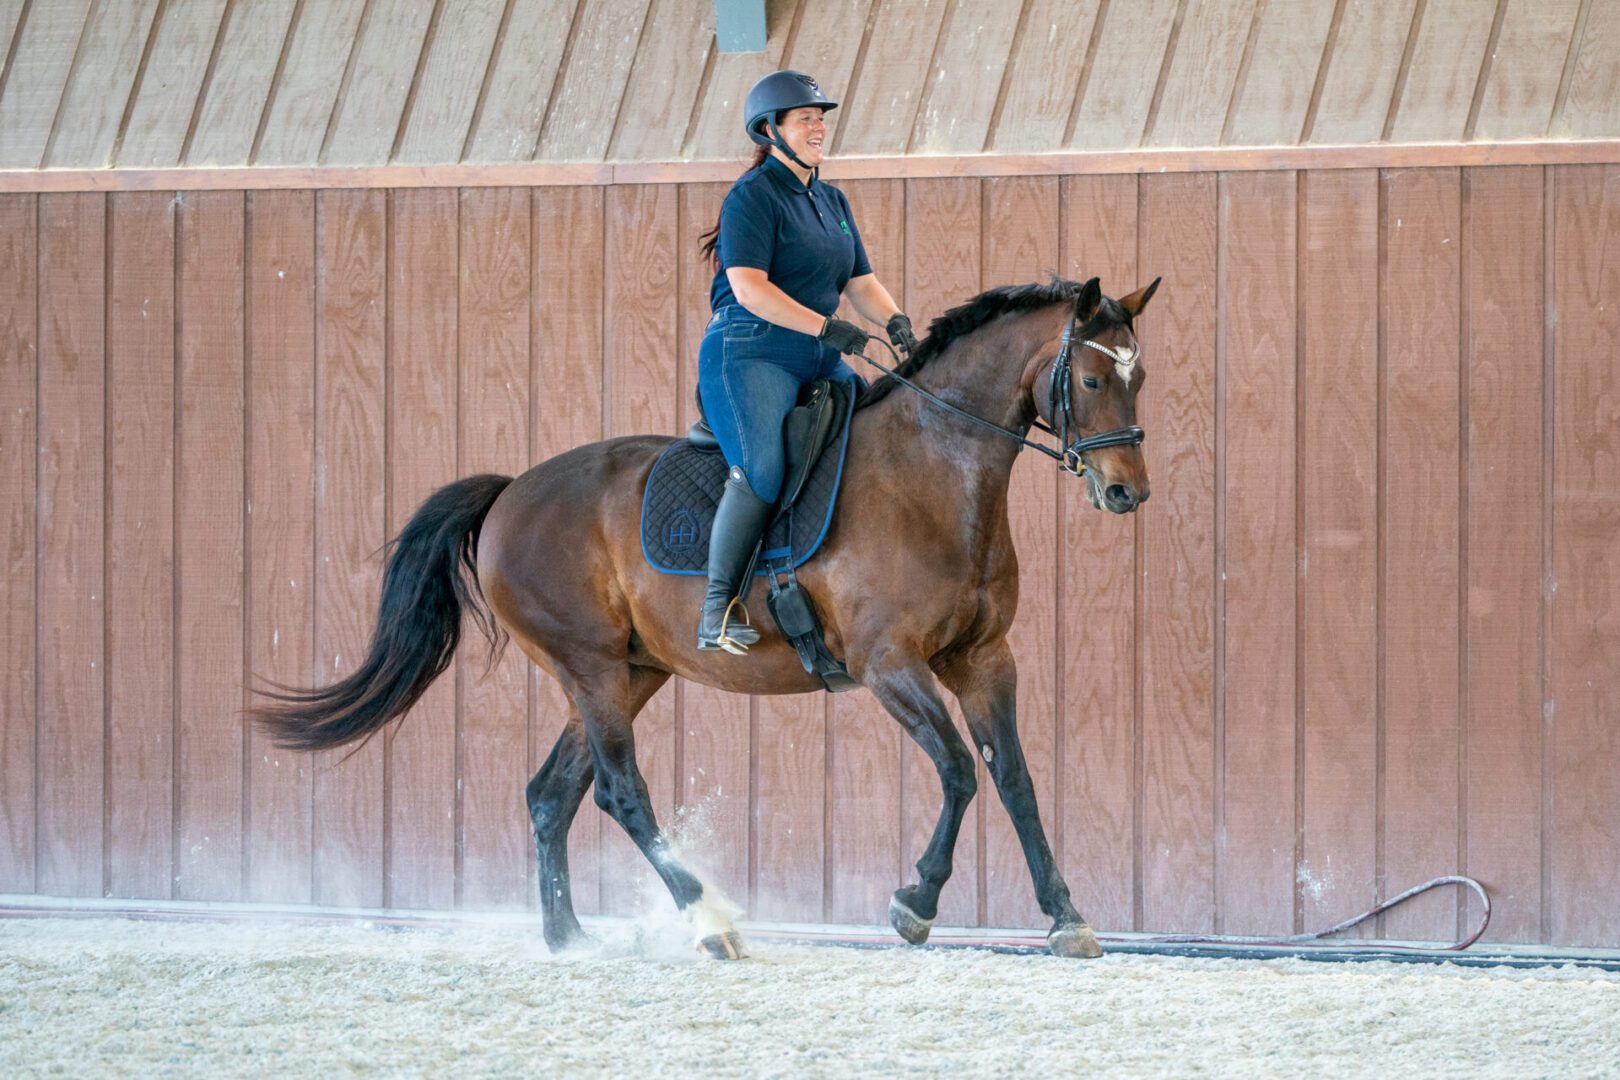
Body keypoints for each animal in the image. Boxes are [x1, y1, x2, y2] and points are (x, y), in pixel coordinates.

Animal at [253, 274, 1158, 960]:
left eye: (1137, 377)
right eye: (1090, 380)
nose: (1126, 493)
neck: (935, 475)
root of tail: (511, 492)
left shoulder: (983, 659)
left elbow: (1015, 780)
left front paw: (1066, 917)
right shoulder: (888, 663)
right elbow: (960, 772)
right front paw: (916, 903)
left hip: (628, 671)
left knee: (552, 794)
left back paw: (569, 938)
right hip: (590, 668)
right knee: (620, 791)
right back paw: (710, 921)